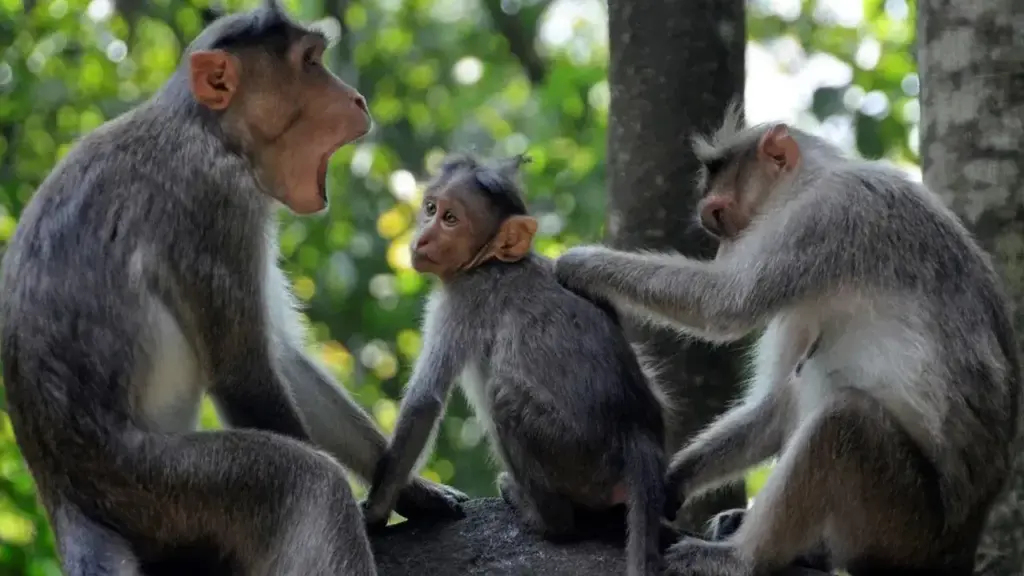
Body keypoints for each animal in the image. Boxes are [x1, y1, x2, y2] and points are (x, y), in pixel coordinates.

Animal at [0, 2, 467, 574]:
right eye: (310, 63)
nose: (355, 98)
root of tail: (66, 498)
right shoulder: (217, 198)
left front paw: (407, 491)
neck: (208, 128)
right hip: (156, 487)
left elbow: (281, 356)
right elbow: (245, 375)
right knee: (309, 482)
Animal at [358, 153, 670, 576]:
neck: (489, 261)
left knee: (503, 397)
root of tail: (638, 436)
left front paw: (375, 512)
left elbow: (425, 401)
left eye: (451, 219)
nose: (422, 238)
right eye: (431, 209)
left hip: (579, 460)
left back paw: (542, 516)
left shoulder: (461, 299)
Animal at [552, 102, 1020, 576]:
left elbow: (726, 303)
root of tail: (960, 547)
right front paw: (671, 481)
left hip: (905, 525)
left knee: (843, 420)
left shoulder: (826, 215)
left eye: (720, 216)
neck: (817, 178)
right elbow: (775, 402)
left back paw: (742, 557)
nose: (723, 250)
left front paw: (582, 263)